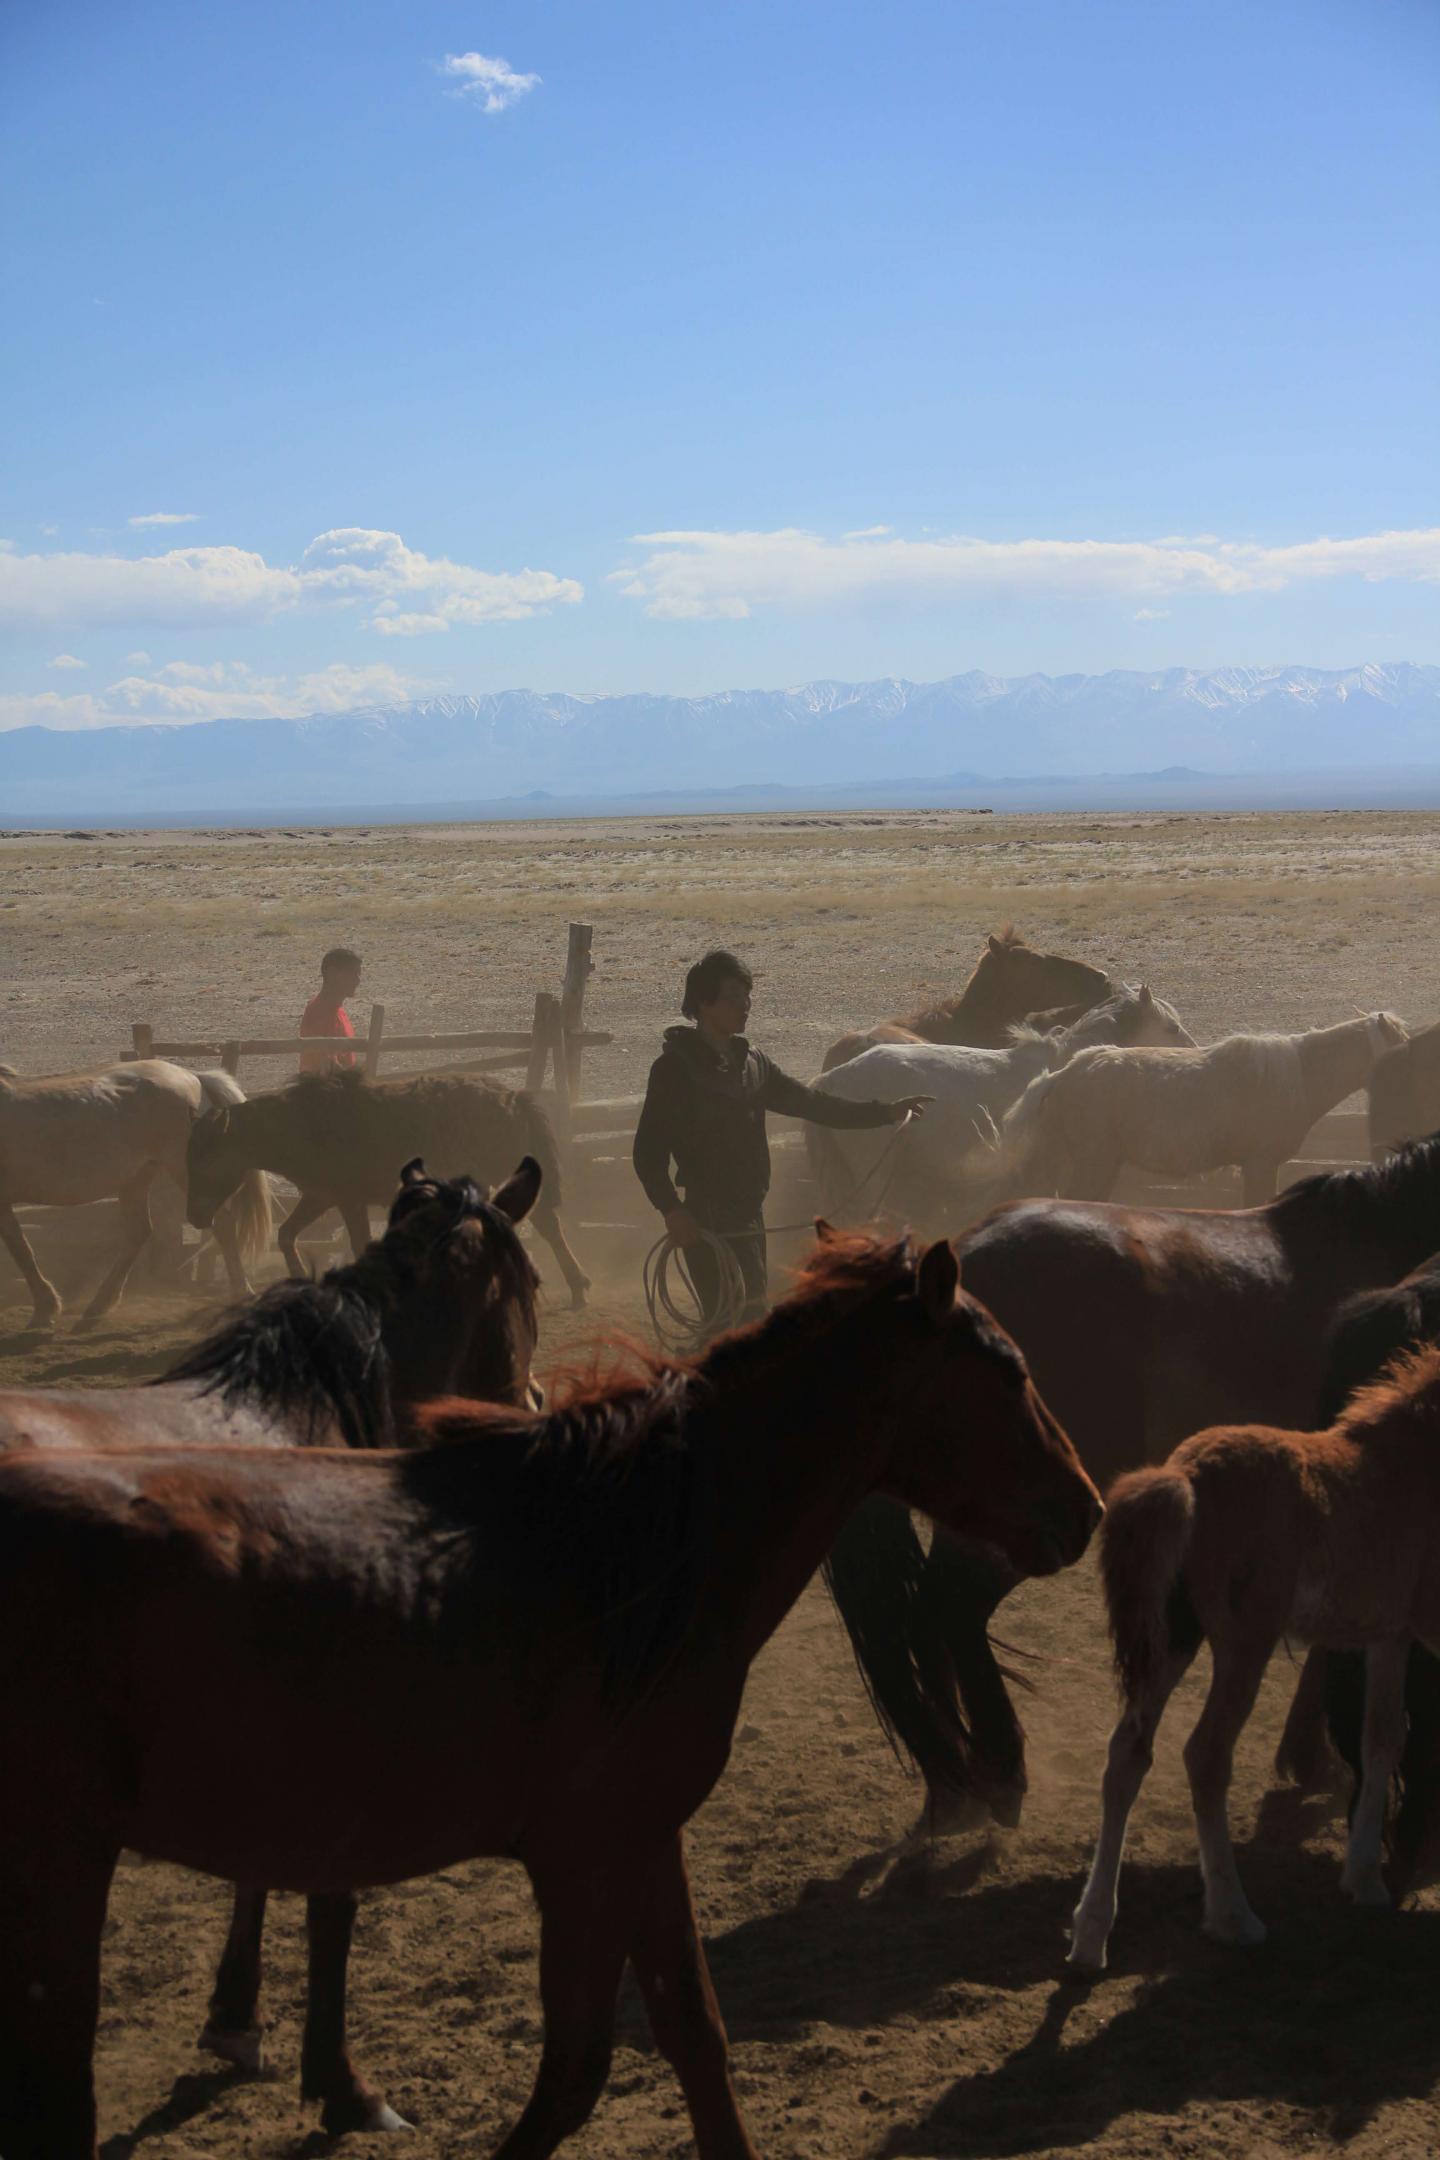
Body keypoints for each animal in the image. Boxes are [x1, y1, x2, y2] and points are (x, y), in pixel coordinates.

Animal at [0, 1060, 273, 1331]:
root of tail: (196, 1078)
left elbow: (21, 1251)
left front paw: (44, 1310)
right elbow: (20, 1249)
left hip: (182, 1170)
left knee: (222, 1224)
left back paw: (242, 1292)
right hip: (137, 1179)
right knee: (138, 1232)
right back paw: (98, 1305)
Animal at [186, 1065, 590, 1308]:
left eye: (206, 1159)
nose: (194, 1217)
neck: (302, 1124)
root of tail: (513, 1099)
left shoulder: (348, 1201)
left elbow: (358, 1241)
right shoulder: (321, 1196)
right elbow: (287, 1235)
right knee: (546, 1225)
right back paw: (577, 1286)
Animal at [1067, 1344, 1440, 1974]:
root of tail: (1183, 1477)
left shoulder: (1390, 1635)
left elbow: (1383, 1737)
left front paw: (1364, 1880)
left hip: (1174, 1639)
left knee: (1126, 1756)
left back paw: (1092, 1934)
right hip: (1244, 1645)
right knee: (1206, 1756)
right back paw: (1232, 1917)